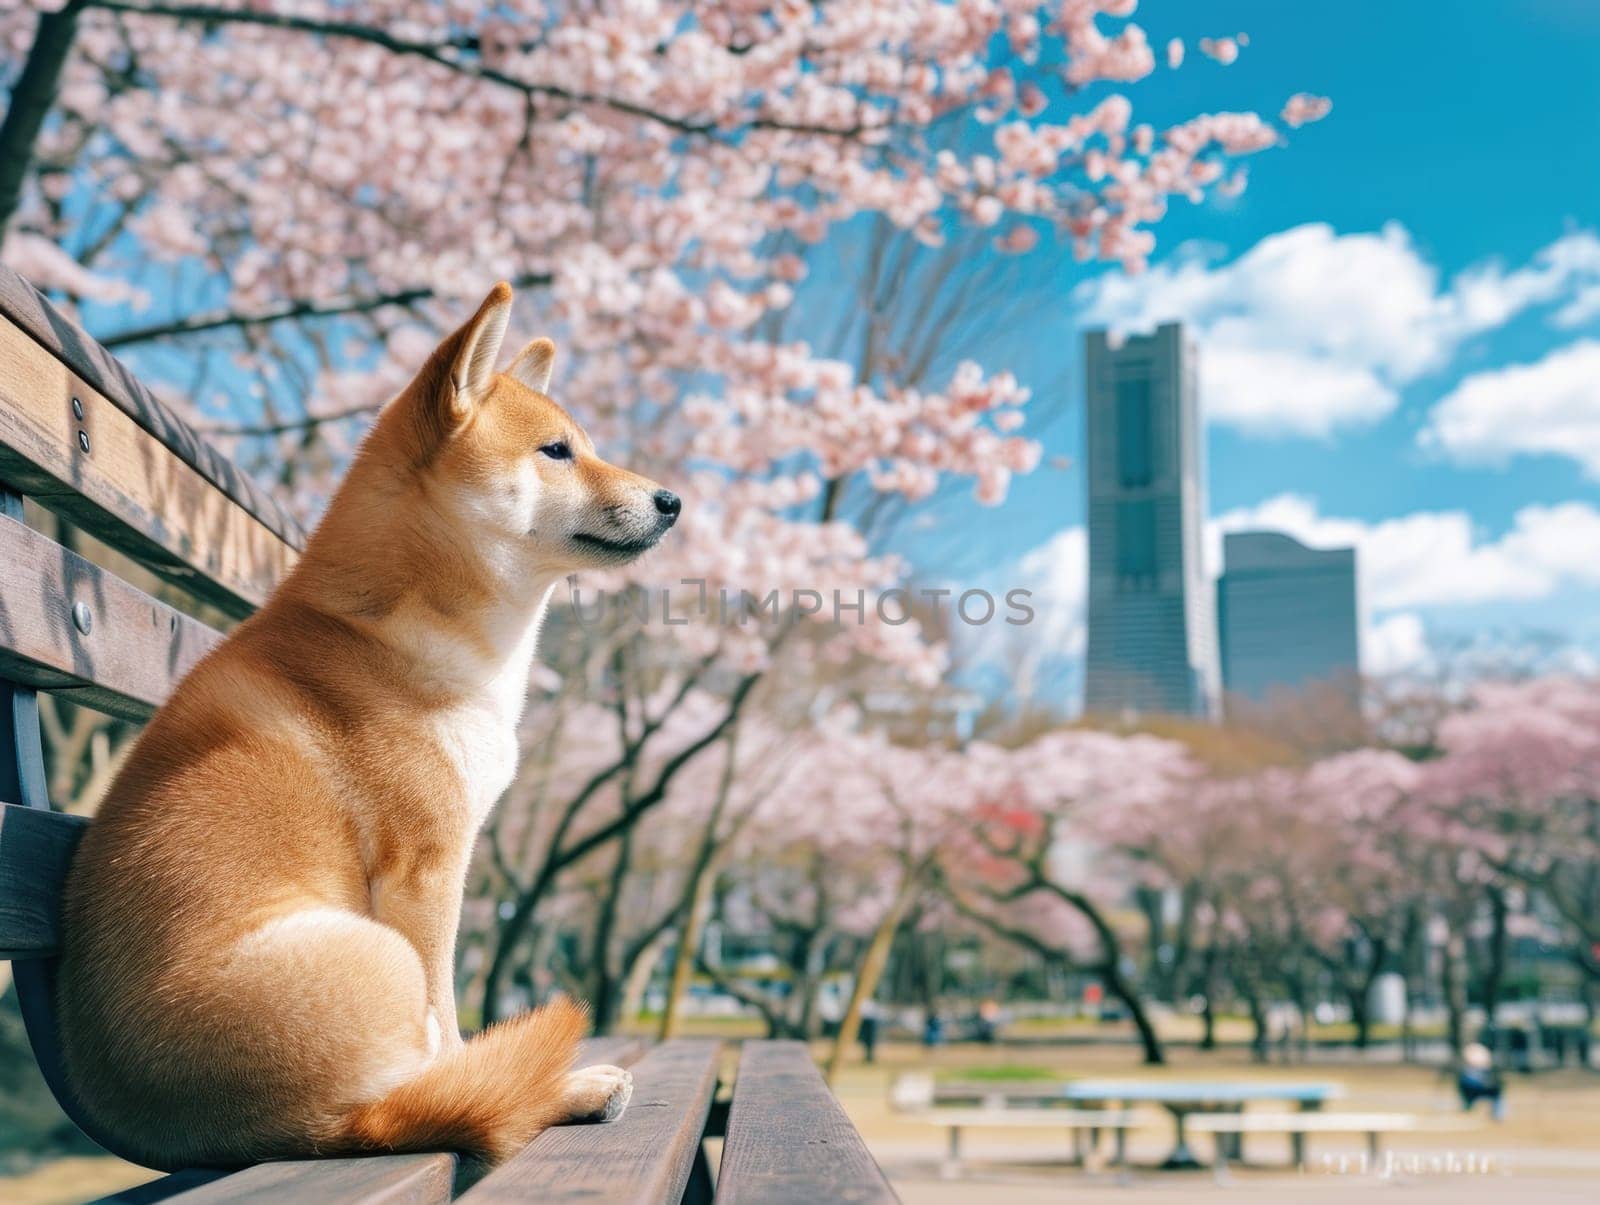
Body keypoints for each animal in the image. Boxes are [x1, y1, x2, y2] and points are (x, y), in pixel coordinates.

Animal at [56, 281, 678, 1164]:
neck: (391, 631)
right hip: (380, 955)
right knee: (426, 1092)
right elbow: (452, 1029)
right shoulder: (430, 869)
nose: (672, 499)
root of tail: (303, 1132)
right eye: (557, 451)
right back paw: (565, 1087)